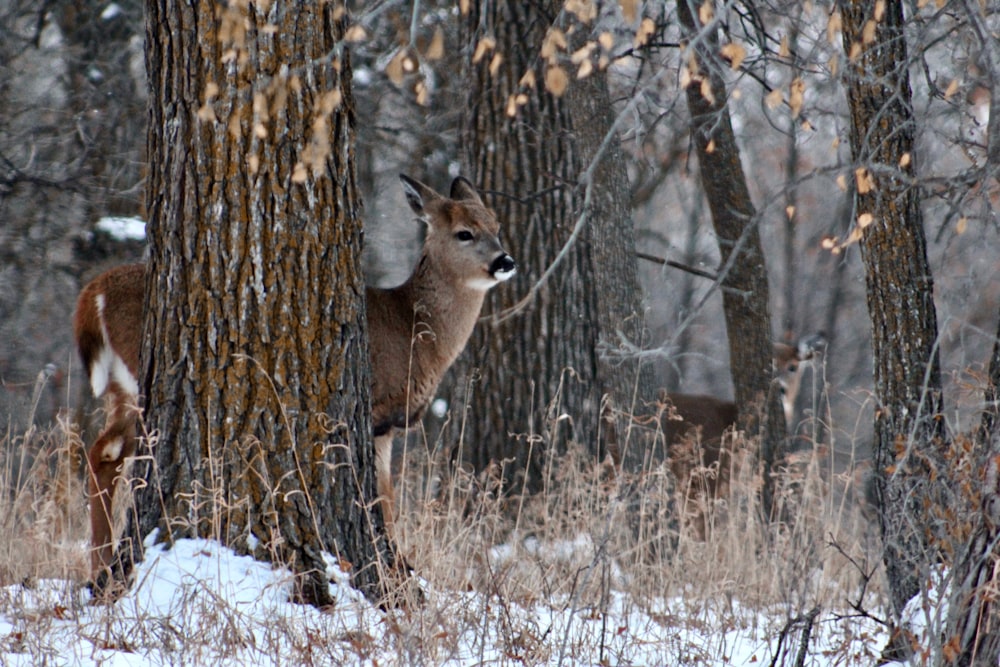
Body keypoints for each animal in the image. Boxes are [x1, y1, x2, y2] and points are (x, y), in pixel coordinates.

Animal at [72, 175, 516, 576]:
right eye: (464, 233)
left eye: (497, 226)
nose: (505, 261)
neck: (415, 331)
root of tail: (93, 294)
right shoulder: (376, 413)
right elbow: (383, 498)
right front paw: (392, 564)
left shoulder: (388, 424)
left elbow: (386, 496)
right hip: (143, 381)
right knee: (109, 452)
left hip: (122, 387)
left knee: (102, 452)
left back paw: (99, 565)